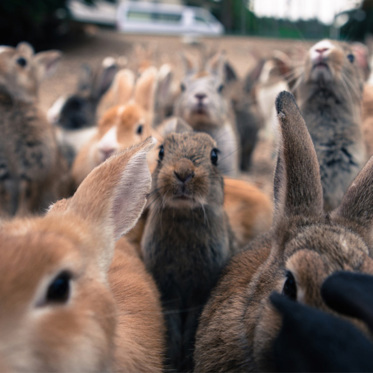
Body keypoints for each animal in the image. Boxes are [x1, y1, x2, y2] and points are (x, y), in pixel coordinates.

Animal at [141, 126, 237, 370]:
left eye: (215, 156)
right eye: (161, 152)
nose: (183, 172)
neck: (184, 215)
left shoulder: (200, 290)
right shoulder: (168, 291)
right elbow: (172, 326)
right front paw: (174, 361)